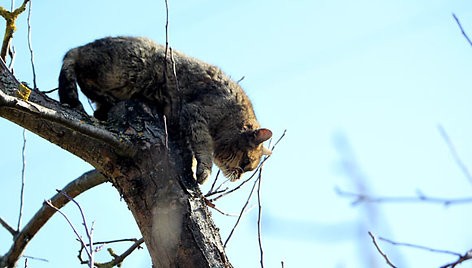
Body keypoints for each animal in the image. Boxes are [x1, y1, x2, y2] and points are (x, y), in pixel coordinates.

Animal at [59, 36, 272, 184]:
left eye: (247, 168)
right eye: (245, 163)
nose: (239, 177)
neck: (233, 114)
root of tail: (84, 47)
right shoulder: (195, 114)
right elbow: (203, 147)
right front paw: (204, 171)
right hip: (133, 67)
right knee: (82, 75)